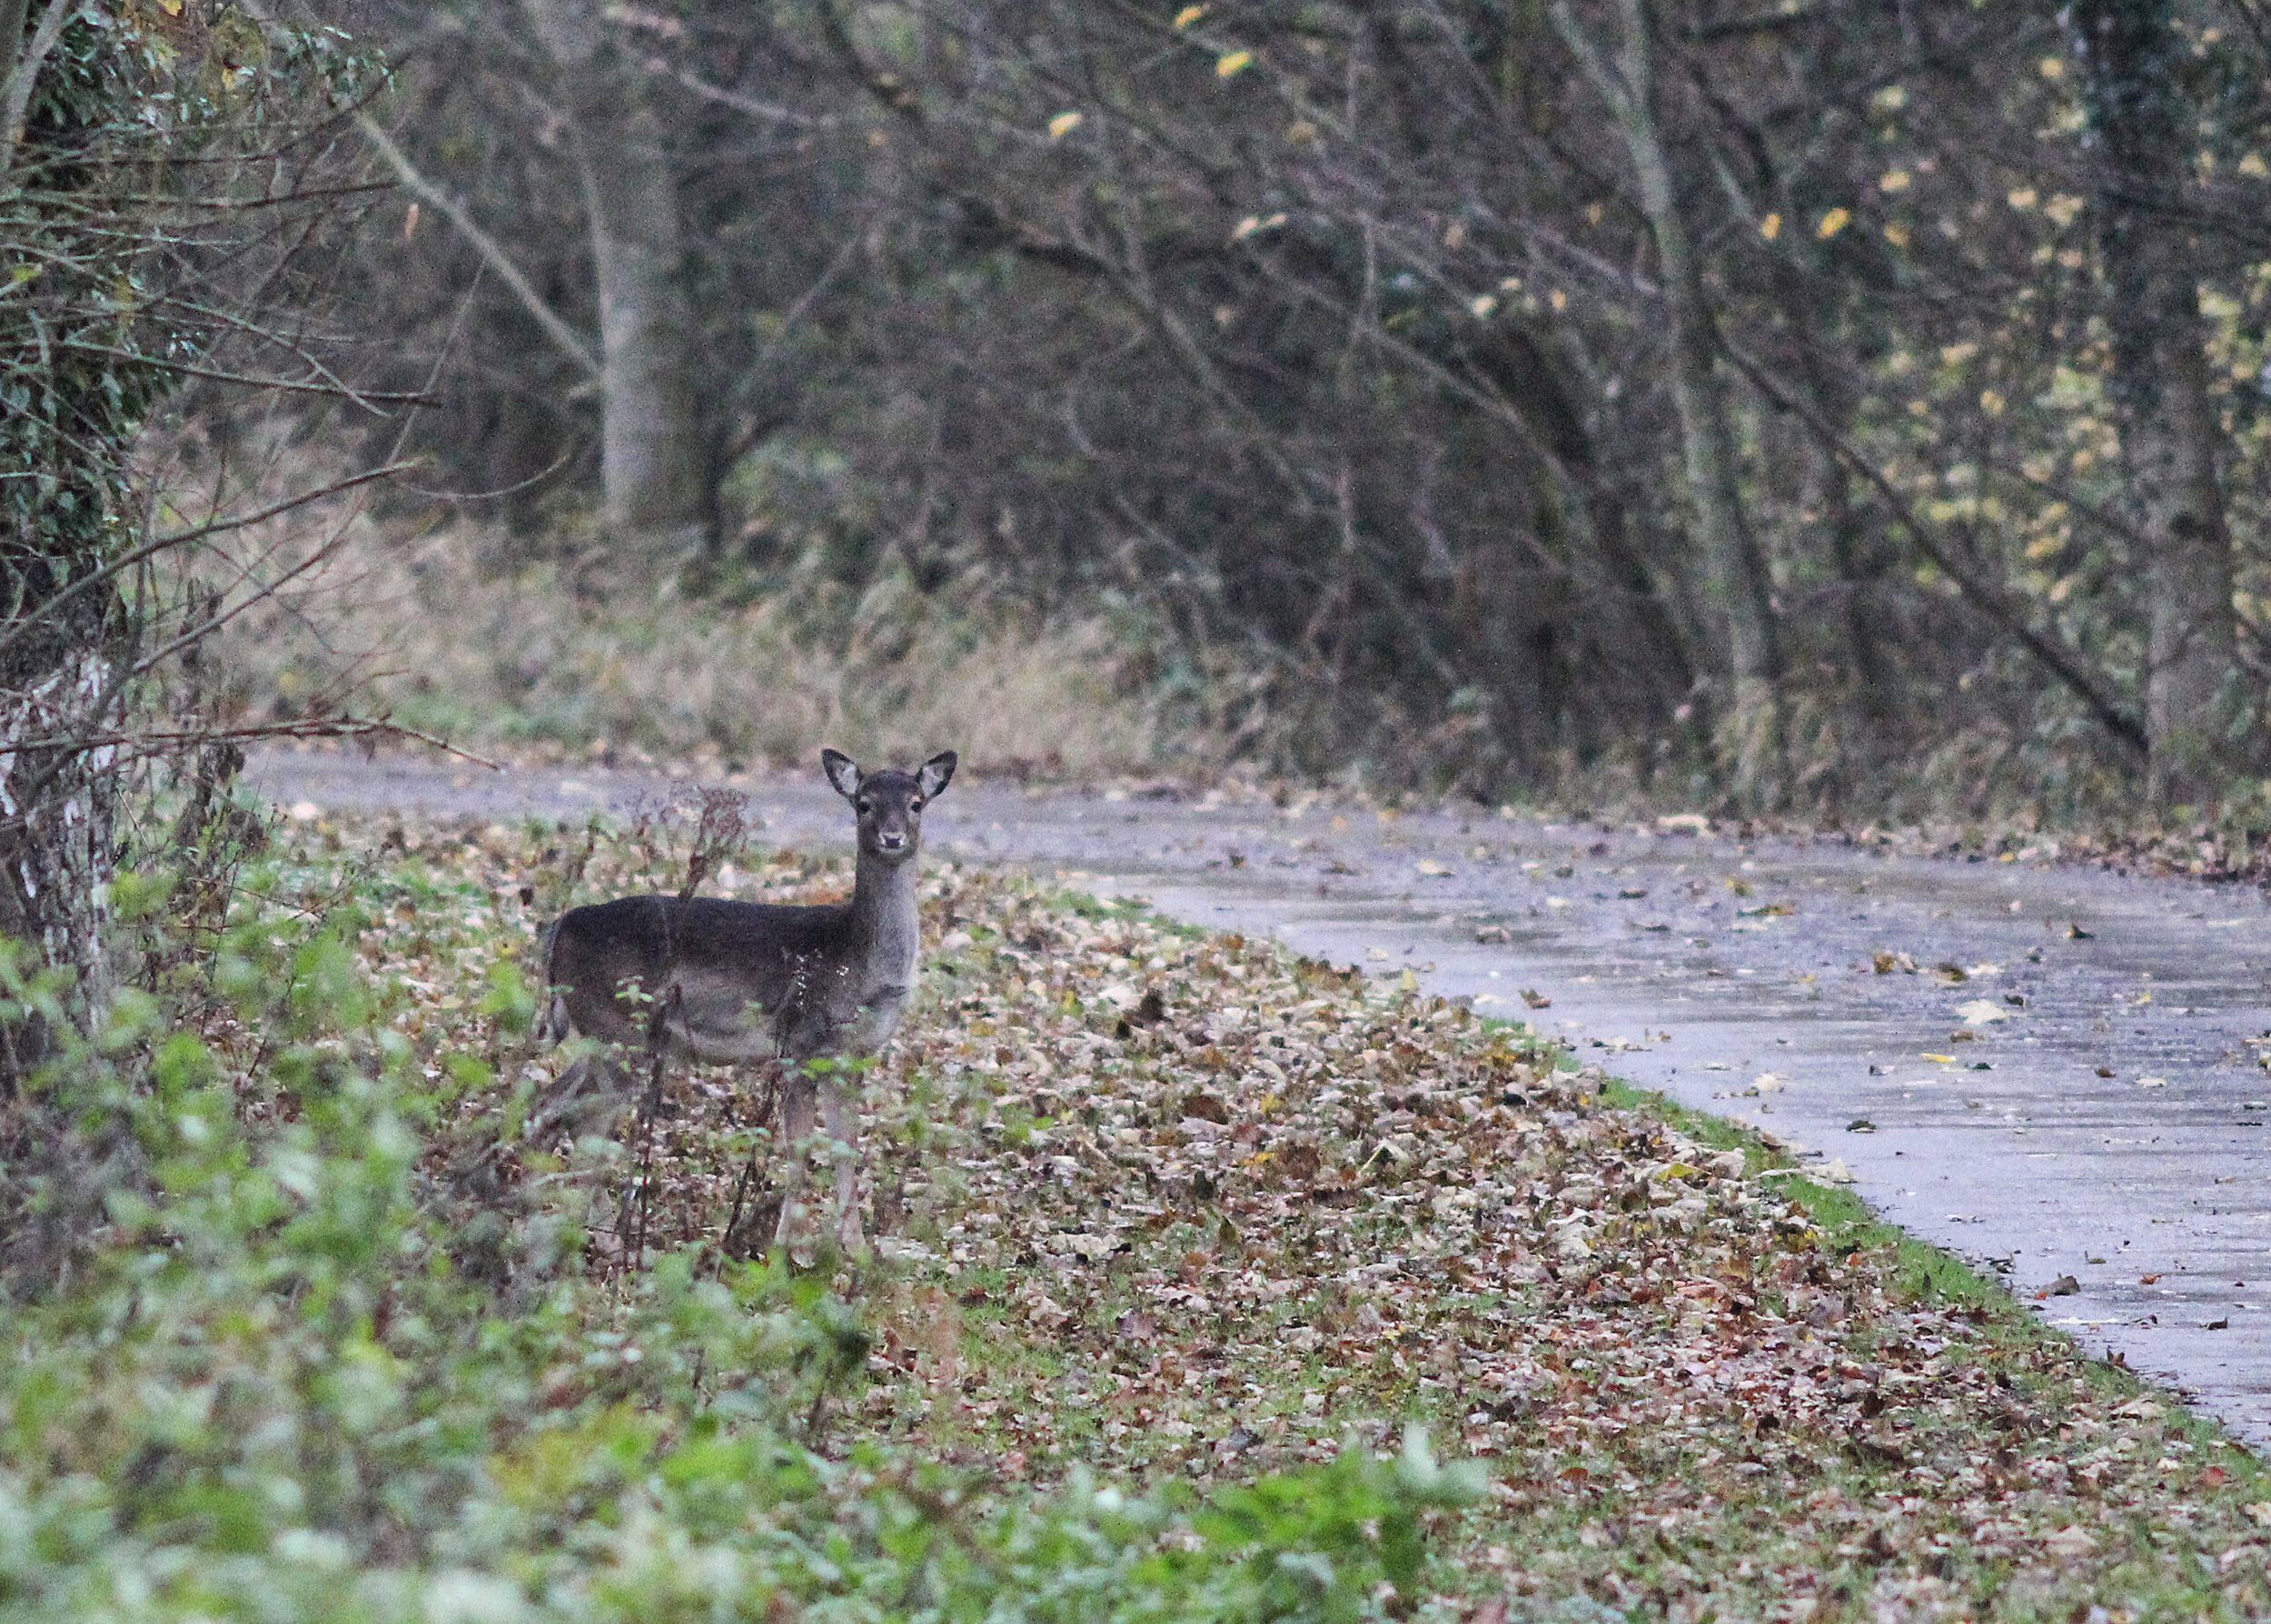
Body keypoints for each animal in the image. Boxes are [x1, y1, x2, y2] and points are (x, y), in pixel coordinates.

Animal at [538, 749, 958, 1253]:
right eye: (864, 803)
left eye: (916, 803)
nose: (892, 837)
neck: (857, 962)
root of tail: (559, 930)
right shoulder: (801, 1042)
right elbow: (799, 1148)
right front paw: (784, 1248)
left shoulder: (850, 1056)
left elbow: (846, 1148)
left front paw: (856, 1250)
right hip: (619, 1026)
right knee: (588, 1123)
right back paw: (604, 1240)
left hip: (603, 1032)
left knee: (554, 1102)